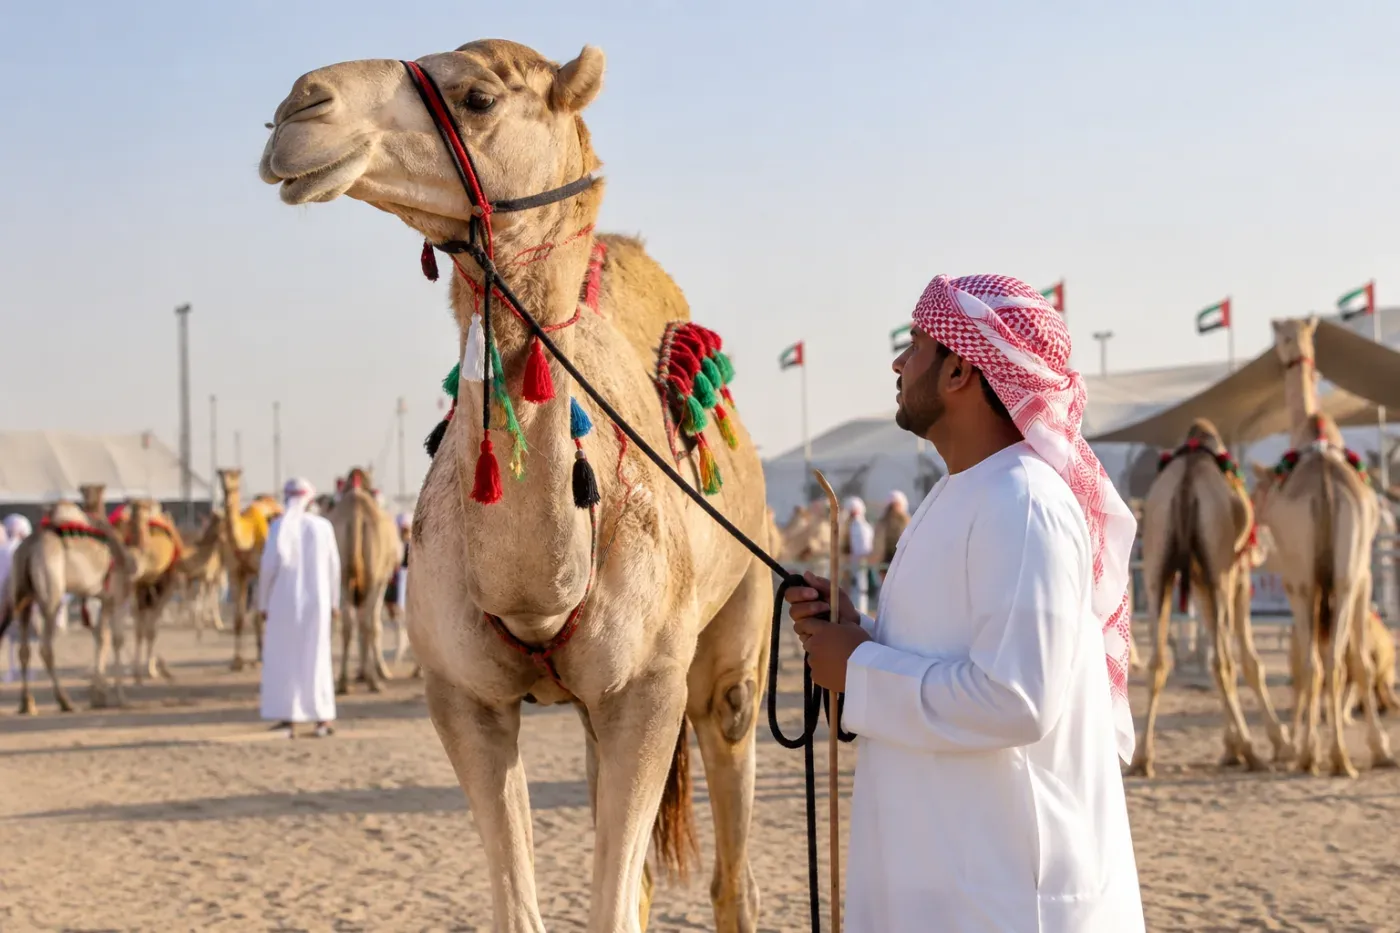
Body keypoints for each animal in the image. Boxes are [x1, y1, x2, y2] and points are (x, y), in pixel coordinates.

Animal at [0, 494, 135, 712]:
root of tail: (29, 547)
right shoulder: (115, 597)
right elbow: (115, 639)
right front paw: (119, 698)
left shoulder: (102, 598)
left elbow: (101, 637)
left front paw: (99, 695)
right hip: (51, 595)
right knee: (45, 647)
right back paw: (65, 701)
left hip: (23, 596)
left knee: (24, 649)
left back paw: (27, 703)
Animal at [217, 468, 282, 670]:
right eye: (221, 478)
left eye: (236, 479)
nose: (227, 497)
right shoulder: (236, 573)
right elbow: (238, 619)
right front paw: (237, 661)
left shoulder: (260, 571)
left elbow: (257, 615)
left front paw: (261, 657)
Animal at [328, 466, 402, 693]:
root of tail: (357, 515)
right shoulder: (382, 579)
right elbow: (375, 625)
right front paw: (380, 671)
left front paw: (361, 672)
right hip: (373, 575)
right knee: (367, 623)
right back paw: (373, 681)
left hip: (342, 575)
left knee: (349, 623)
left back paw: (343, 682)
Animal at [1129, 419, 1291, 778]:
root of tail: (1185, 485)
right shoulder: (1236, 576)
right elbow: (1249, 661)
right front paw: (1276, 743)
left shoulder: (1199, 579)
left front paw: (1231, 748)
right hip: (1220, 569)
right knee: (1223, 661)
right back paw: (1253, 753)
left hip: (1157, 565)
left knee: (1158, 661)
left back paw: (1142, 758)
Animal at [1256, 317, 1392, 777]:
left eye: (1280, 338)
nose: (1280, 356)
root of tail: (1327, 488)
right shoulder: (1361, 576)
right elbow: (1357, 661)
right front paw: (1380, 748)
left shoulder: (1310, 578)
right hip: (1343, 577)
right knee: (1334, 660)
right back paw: (1337, 756)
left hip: (1307, 580)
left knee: (1319, 662)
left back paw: (1317, 753)